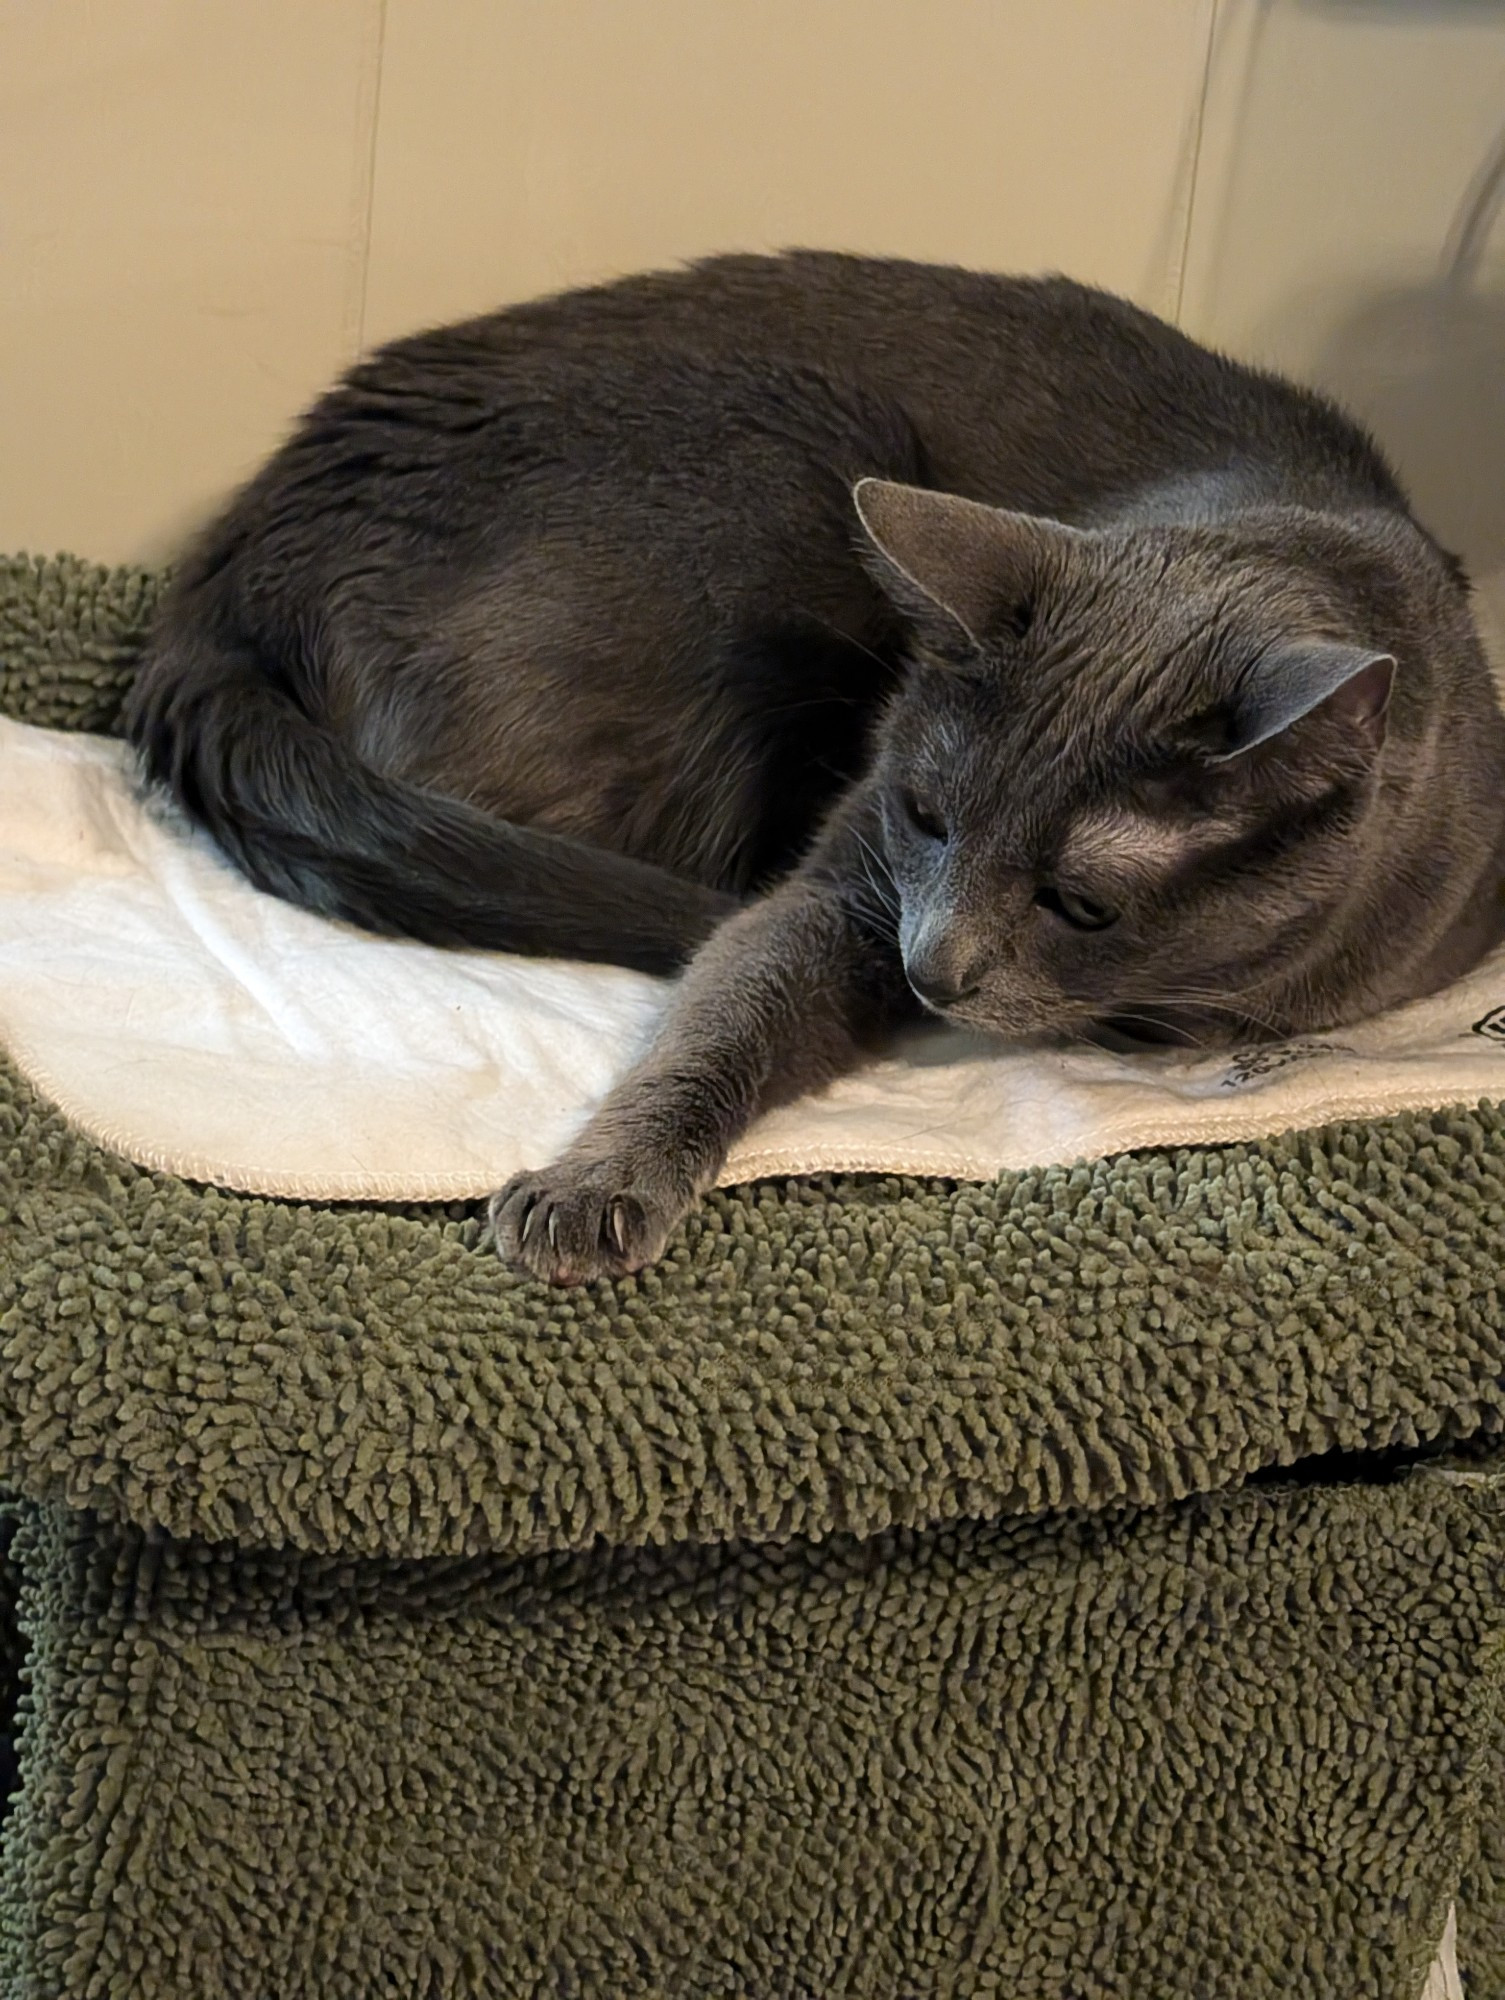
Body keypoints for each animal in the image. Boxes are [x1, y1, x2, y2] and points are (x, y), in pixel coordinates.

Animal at [126, 254, 1505, 1280]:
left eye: (1081, 901)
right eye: (923, 812)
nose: (930, 967)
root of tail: (229, 573)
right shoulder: (852, 887)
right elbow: (731, 1000)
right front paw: (592, 1183)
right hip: (788, 442)